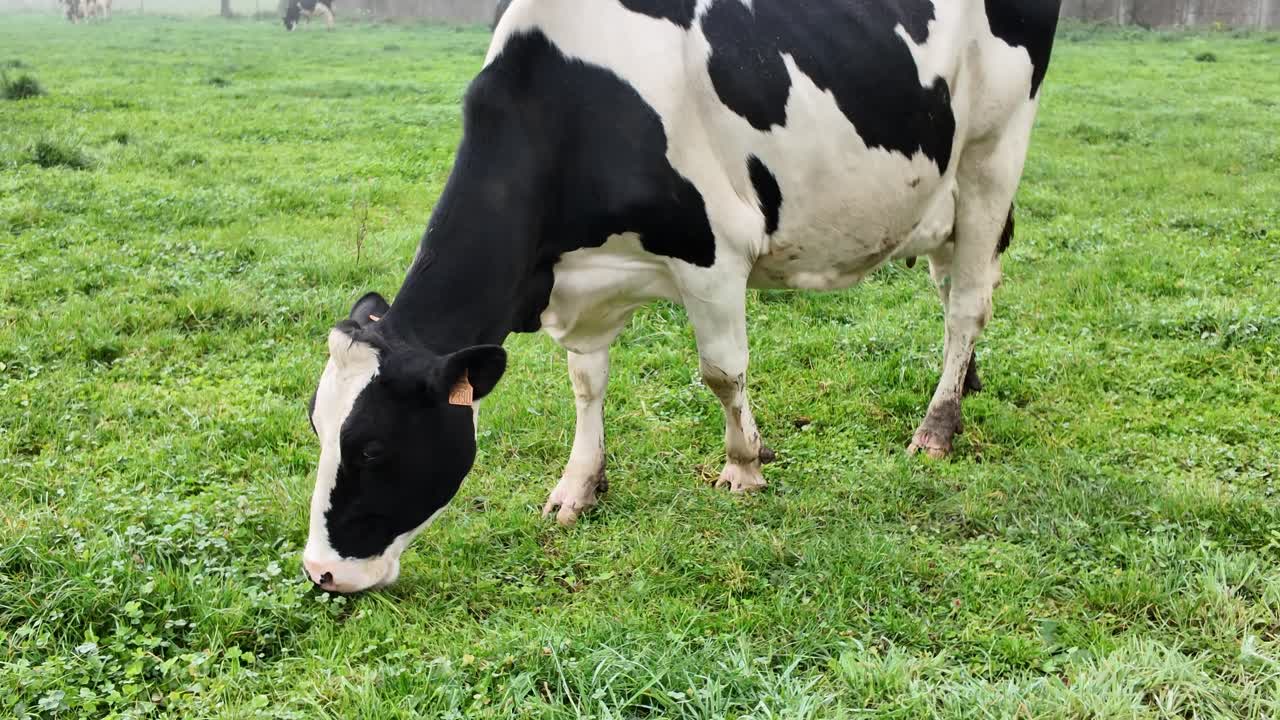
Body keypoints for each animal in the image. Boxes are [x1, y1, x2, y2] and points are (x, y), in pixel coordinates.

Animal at [302, 0, 1061, 593]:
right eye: (317, 427)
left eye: (372, 449)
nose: (321, 572)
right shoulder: (585, 282)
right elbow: (586, 382)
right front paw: (578, 486)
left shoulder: (714, 251)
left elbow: (722, 373)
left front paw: (745, 466)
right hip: (941, 192)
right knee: (959, 283)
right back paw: (967, 383)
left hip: (993, 151)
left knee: (967, 300)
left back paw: (938, 425)